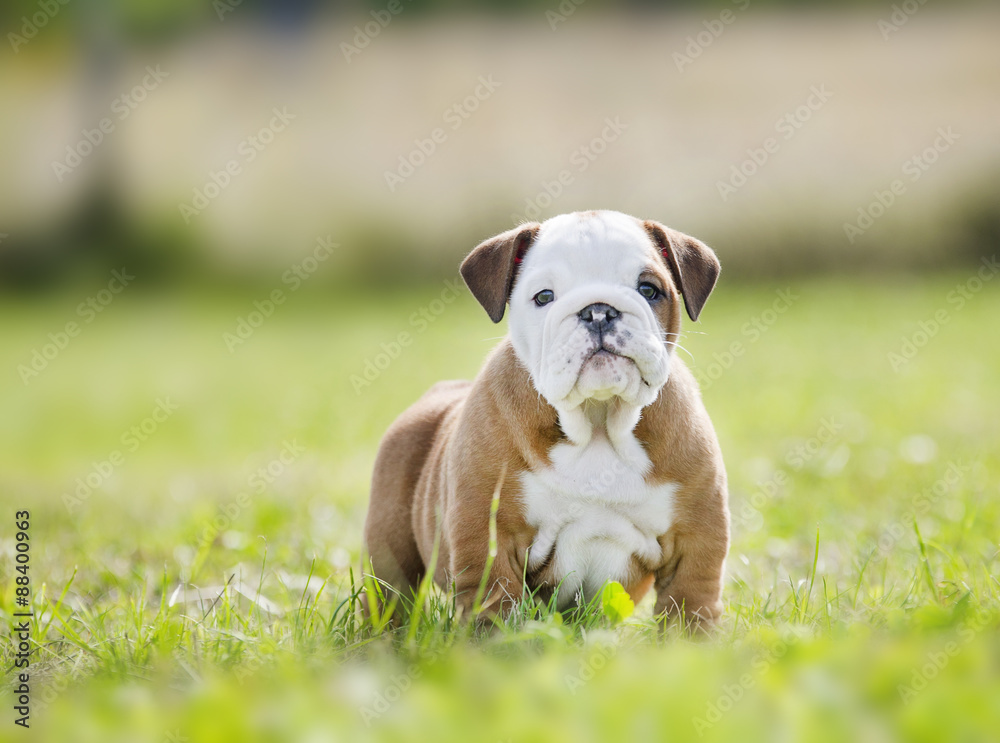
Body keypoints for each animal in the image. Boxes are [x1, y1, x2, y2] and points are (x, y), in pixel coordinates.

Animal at [364, 209, 732, 628]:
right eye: (544, 297)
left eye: (649, 289)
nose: (599, 310)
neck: (598, 422)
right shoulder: (488, 536)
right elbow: (495, 603)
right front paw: (496, 641)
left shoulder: (696, 539)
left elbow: (691, 602)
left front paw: (690, 640)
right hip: (388, 543)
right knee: (389, 593)